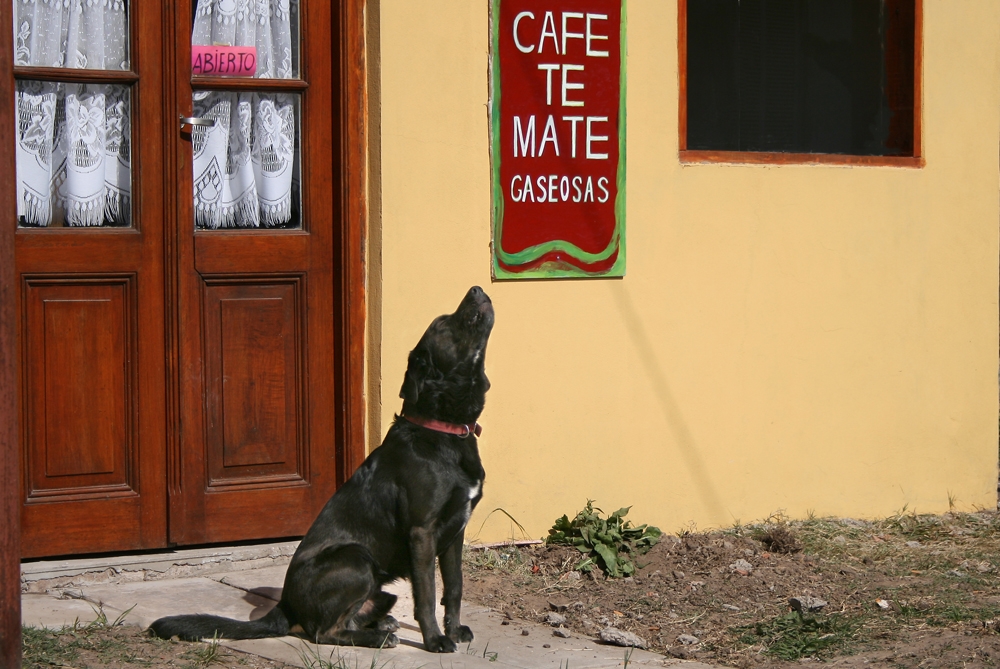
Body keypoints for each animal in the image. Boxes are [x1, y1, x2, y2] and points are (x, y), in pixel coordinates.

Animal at [150, 288, 494, 652]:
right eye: (443, 324)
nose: (476, 289)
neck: (443, 430)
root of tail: (285, 604)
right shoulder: (422, 531)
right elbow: (426, 594)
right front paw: (435, 640)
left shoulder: (456, 531)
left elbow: (454, 587)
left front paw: (454, 630)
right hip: (356, 559)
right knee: (323, 632)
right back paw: (377, 637)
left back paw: (381, 624)